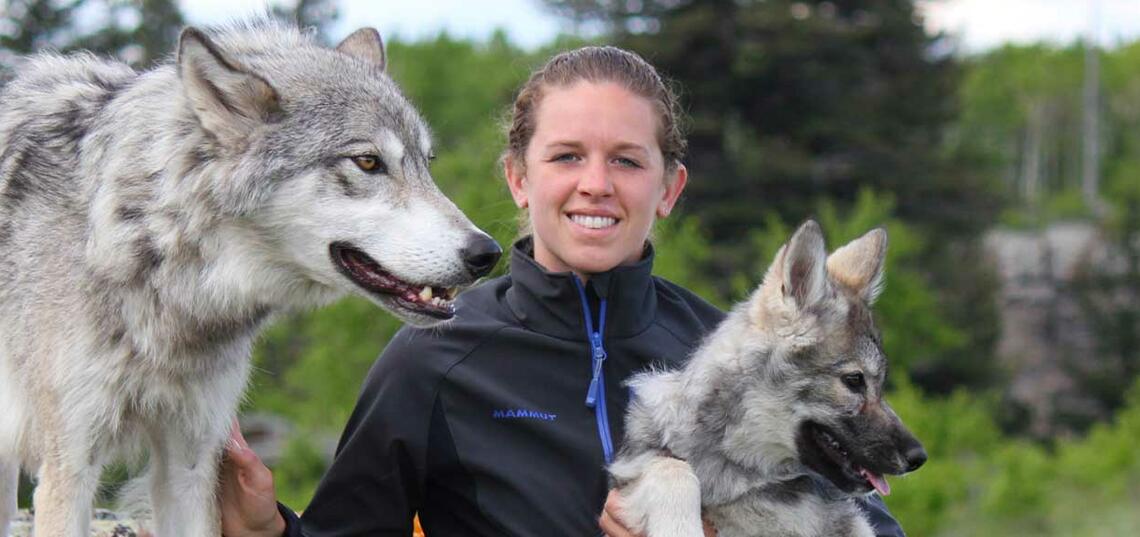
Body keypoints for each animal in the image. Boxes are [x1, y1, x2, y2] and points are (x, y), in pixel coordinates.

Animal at [611, 221, 921, 535]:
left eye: (880, 384)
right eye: (854, 380)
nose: (918, 458)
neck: (750, 470)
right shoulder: (632, 470)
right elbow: (672, 468)